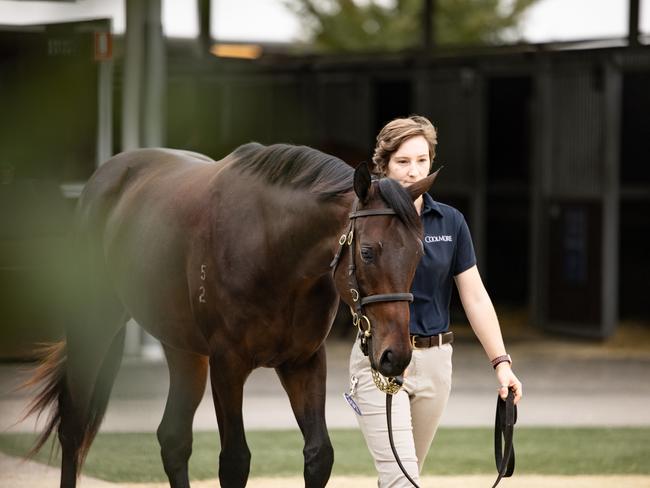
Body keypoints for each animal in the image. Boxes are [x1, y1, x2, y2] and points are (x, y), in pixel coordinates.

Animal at [24, 142, 436, 488]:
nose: (396, 355)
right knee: (73, 426)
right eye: (367, 252)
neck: (273, 248)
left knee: (173, 438)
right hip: (93, 325)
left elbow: (319, 455)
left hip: (184, 349)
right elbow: (235, 462)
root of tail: (107, 175)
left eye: (419, 253)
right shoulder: (228, 364)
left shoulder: (303, 362)